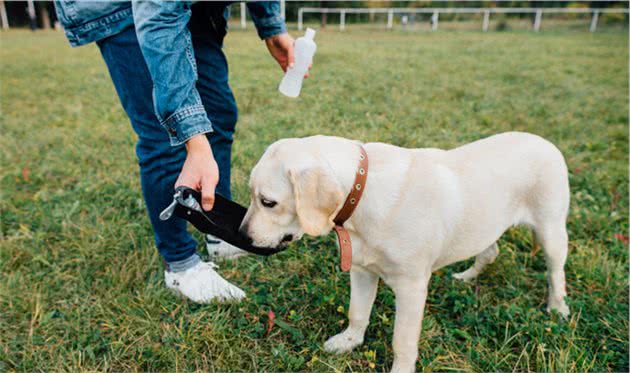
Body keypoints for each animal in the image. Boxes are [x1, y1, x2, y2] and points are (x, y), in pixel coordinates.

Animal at [239, 132, 572, 370]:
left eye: (267, 201)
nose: (241, 235)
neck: (362, 193)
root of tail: (544, 141)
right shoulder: (362, 272)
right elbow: (357, 312)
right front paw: (349, 341)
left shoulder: (411, 288)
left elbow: (402, 341)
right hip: (485, 225)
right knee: (490, 252)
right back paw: (467, 276)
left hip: (551, 231)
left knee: (556, 273)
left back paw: (558, 309)